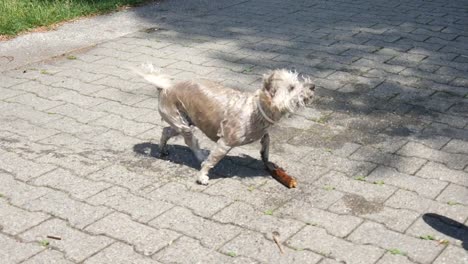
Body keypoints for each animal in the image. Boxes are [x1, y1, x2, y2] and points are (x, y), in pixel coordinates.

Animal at [137, 65, 316, 186]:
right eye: (292, 87)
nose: (313, 86)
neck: (256, 111)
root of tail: (165, 87)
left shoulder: (262, 133)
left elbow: (266, 143)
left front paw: (268, 161)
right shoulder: (224, 143)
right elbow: (211, 161)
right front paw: (202, 176)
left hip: (184, 121)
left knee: (166, 131)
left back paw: (162, 149)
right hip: (182, 123)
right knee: (190, 140)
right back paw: (200, 155)